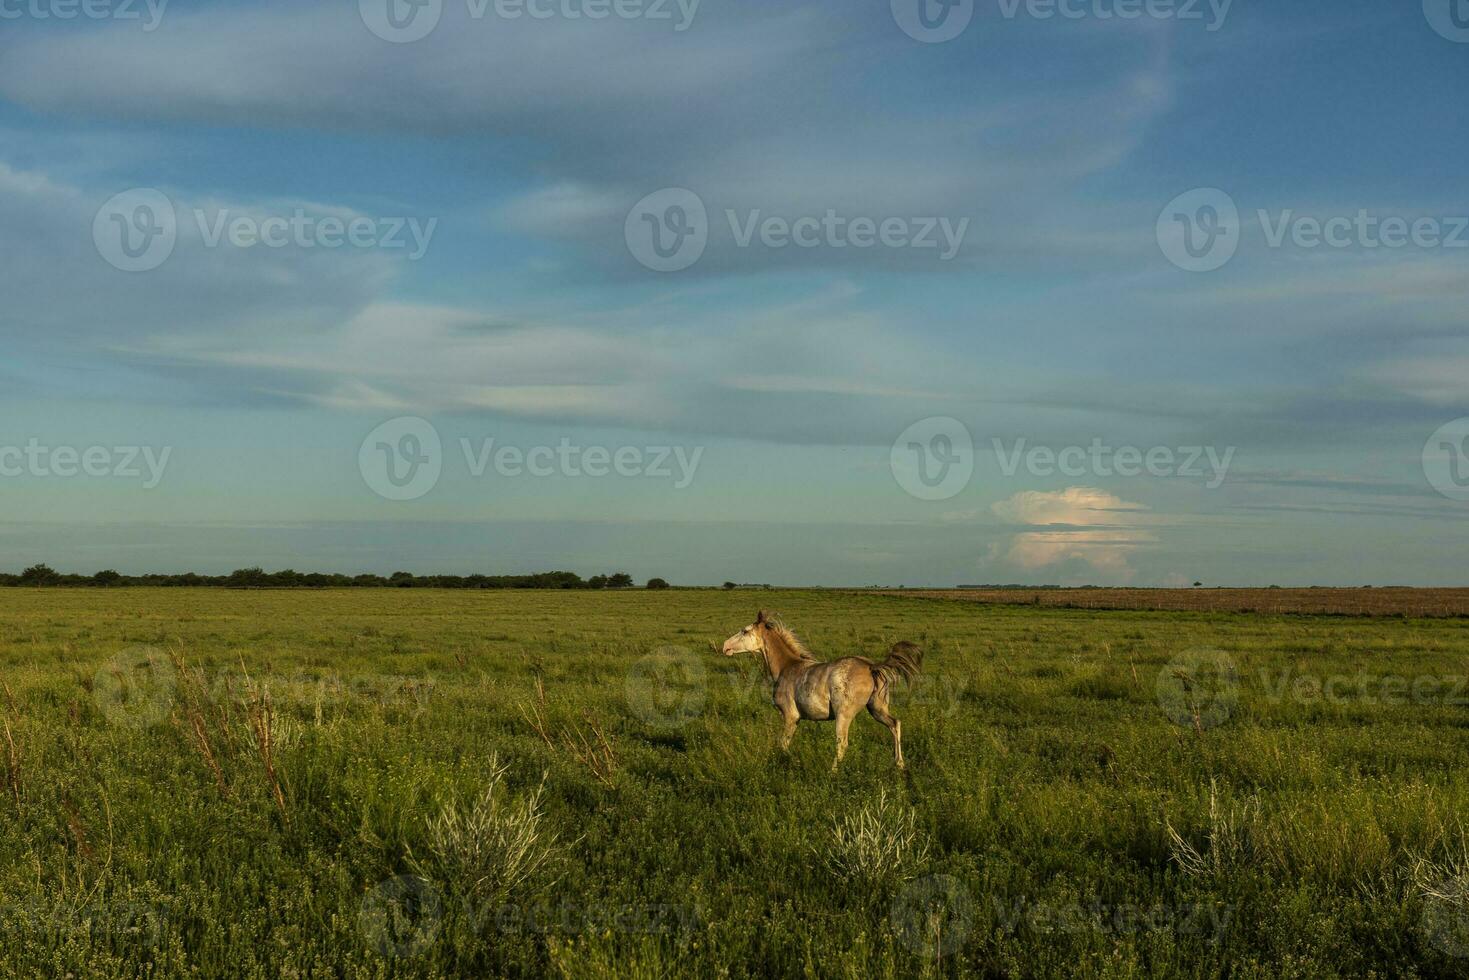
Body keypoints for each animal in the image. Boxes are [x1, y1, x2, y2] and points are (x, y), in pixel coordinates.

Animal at [719, 608, 922, 769]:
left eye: (744, 631)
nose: (725, 646)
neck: (787, 667)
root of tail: (871, 666)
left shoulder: (790, 716)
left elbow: (783, 744)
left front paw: (791, 762)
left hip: (843, 715)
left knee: (842, 743)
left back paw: (832, 772)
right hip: (876, 709)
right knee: (895, 724)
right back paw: (899, 764)